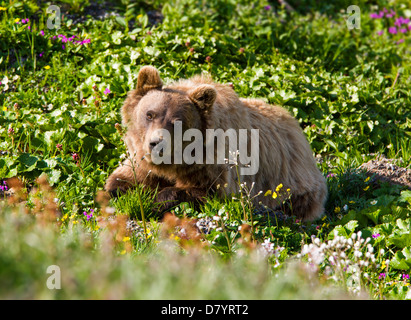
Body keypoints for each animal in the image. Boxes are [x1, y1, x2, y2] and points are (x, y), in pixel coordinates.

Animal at [105, 65, 328, 220]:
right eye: (150, 114)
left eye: (177, 122)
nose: (156, 144)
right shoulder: (142, 160)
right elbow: (122, 179)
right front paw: (117, 192)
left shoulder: (214, 167)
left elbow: (205, 192)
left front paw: (154, 201)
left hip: (296, 186)